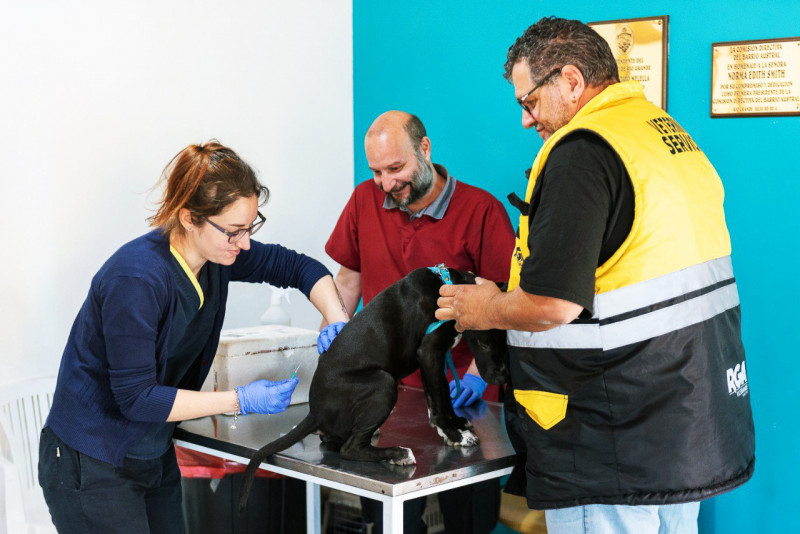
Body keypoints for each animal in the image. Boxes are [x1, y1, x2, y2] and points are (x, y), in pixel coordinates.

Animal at [239, 268, 512, 510]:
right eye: (485, 344)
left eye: (507, 340)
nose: (503, 376)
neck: (446, 285)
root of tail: (315, 411)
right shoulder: (429, 353)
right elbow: (438, 400)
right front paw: (455, 434)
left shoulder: (438, 357)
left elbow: (442, 396)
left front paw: (455, 424)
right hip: (384, 383)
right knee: (350, 449)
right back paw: (397, 453)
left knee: (334, 443)